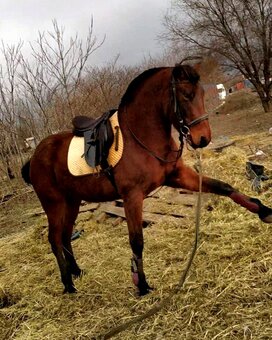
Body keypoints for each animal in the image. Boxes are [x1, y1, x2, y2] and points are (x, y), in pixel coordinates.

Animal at [21, 63, 272, 294]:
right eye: (186, 95)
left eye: (201, 93)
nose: (202, 138)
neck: (142, 138)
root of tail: (34, 156)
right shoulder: (132, 197)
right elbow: (137, 240)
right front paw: (140, 284)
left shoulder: (178, 176)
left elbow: (223, 186)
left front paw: (263, 210)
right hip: (54, 204)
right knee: (54, 239)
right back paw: (68, 284)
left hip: (72, 201)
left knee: (65, 237)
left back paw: (77, 272)